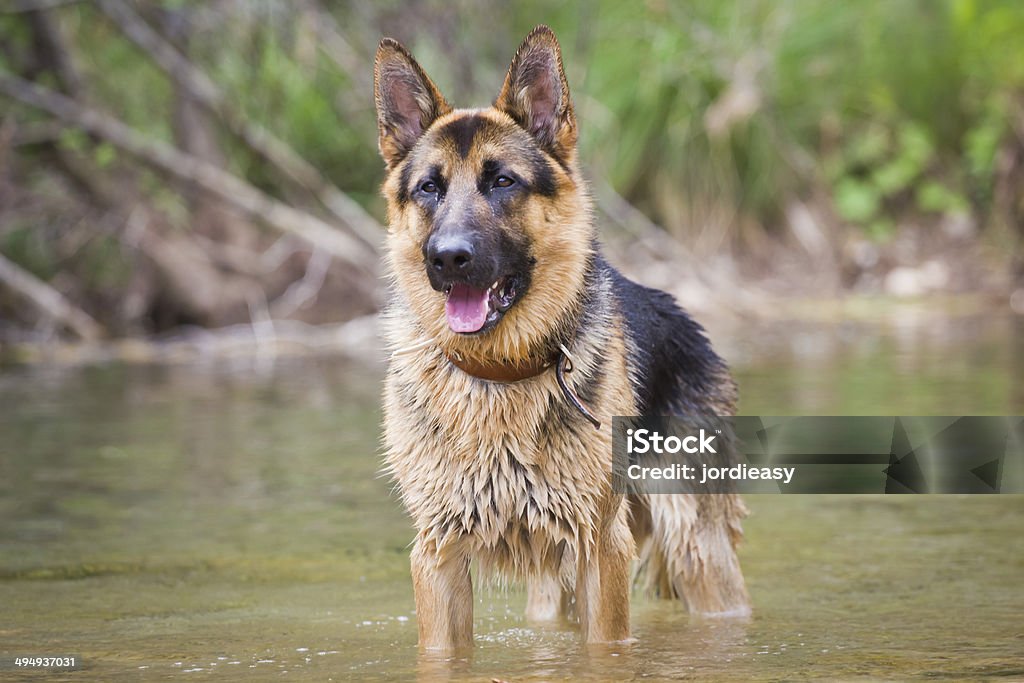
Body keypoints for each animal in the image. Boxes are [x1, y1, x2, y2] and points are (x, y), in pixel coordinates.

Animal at [372, 22, 749, 651]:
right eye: (428, 188)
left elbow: (606, 648)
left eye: (502, 181)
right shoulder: (438, 556)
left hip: (696, 551)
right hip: (551, 583)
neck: (498, 375)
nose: (447, 258)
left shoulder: (603, 547)